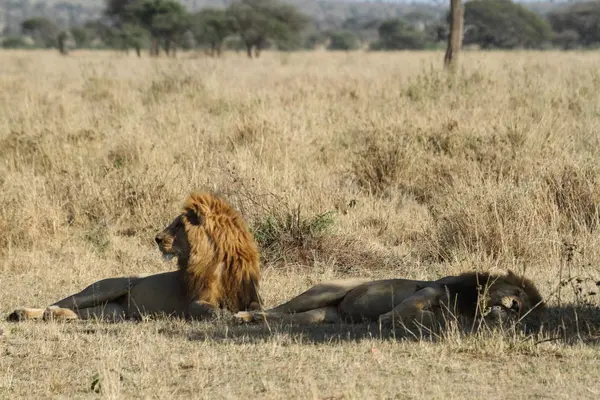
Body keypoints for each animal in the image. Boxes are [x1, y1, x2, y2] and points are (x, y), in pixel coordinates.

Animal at [6, 191, 260, 322]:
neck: (218, 259)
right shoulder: (194, 302)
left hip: (112, 312)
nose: (156, 238)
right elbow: (211, 310)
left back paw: (47, 315)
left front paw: (246, 314)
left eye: (178, 225)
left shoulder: (249, 294)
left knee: (79, 313)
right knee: (58, 302)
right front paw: (229, 315)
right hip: (108, 287)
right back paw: (26, 312)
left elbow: (255, 306)